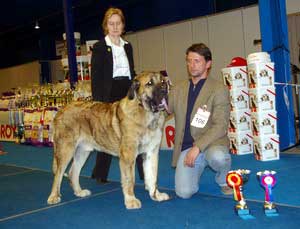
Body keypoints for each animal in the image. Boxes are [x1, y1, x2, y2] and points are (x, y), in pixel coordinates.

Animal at [46, 71, 169, 209]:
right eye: (150, 83)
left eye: (163, 81)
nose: (165, 88)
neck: (145, 112)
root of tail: (61, 109)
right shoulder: (128, 155)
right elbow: (129, 179)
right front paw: (131, 200)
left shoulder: (151, 152)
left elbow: (153, 176)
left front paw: (156, 195)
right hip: (65, 149)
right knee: (58, 174)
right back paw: (53, 197)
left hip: (83, 151)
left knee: (73, 172)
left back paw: (79, 192)